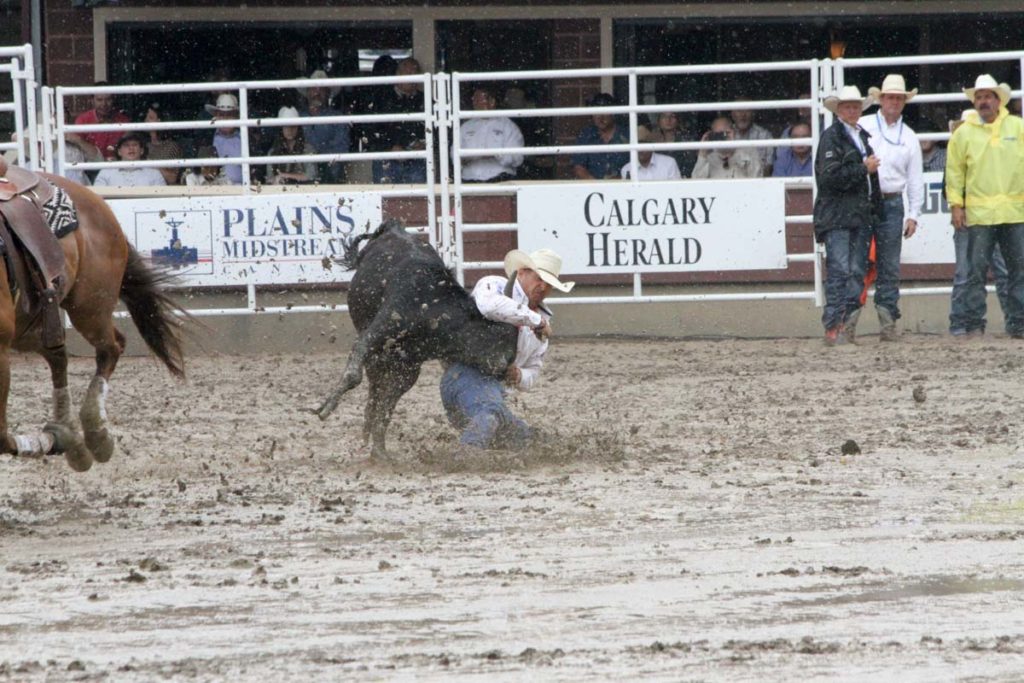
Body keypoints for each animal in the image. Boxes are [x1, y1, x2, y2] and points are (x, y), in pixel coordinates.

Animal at [0, 172, 186, 471]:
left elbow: (2, 437)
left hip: (89, 308)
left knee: (111, 347)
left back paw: (94, 434)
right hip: (31, 324)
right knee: (59, 356)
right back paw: (68, 432)